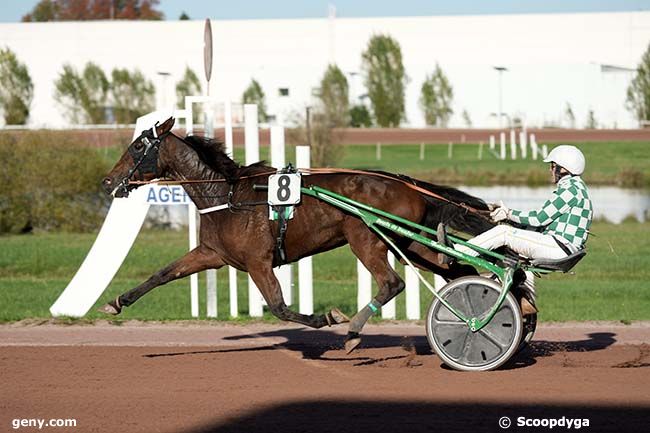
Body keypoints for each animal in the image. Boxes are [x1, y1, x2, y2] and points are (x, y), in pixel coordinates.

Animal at [98, 117, 488, 352]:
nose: (107, 181)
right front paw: (116, 302)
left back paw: (352, 332)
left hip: (367, 240)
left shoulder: (258, 261)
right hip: (409, 242)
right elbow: (163, 274)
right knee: (458, 270)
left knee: (393, 283)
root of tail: (406, 183)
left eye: (137, 147)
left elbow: (279, 307)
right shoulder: (212, 253)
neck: (226, 194)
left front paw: (327, 318)